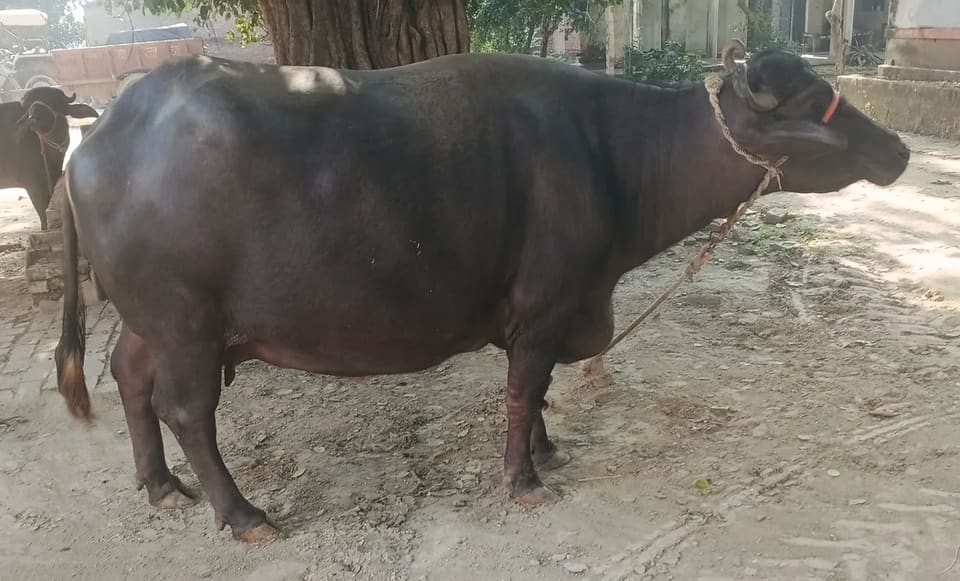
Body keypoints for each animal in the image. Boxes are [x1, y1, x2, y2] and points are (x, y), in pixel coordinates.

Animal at [55, 41, 909, 542]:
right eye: (810, 104)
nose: (898, 149)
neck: (612, 156)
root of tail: (94, 138)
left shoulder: (554, 314)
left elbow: (539, 392)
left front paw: (547, 449)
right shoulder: (545, 307)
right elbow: (523, 389)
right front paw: (524, 478)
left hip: (152, 322)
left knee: (128, 375)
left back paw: (160, 485)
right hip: (188, 326)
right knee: (187, 410)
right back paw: (243, 514)